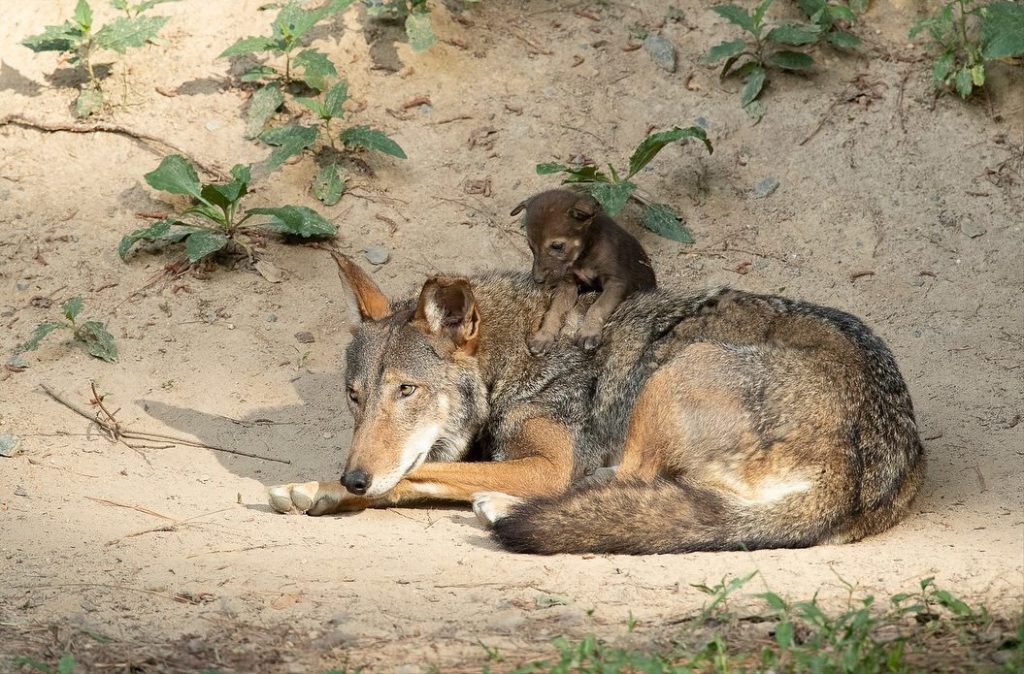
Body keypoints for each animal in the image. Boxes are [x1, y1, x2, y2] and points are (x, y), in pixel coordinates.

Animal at [268, 254, 925, 554]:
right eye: (354, 396)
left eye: (407, 391)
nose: (354, 478)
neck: (515, 360)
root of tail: (858, 467)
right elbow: (417, 474)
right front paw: (327, 491)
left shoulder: (549, 464)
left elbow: (416, 473)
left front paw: (319, 488)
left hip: (672, 375)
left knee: (622, 483)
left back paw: (506, 508)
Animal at [511, 189, 657, 354]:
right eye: (531, 247)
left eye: (557, 246)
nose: (538, 280)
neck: (583, 257)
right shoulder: (568, 286)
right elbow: (554, 311)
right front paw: (544, 335)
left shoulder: (616, 282)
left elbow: (598, 306)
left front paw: (589, 332)